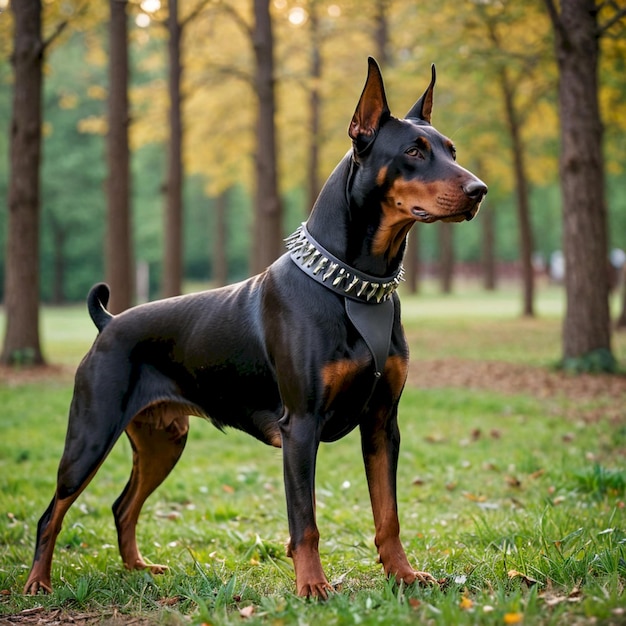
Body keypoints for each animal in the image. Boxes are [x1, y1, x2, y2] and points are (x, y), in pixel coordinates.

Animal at [24, 57, 486, 596]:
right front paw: (313, 587)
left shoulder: (382, 422)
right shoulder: (301, 426)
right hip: (91, 434)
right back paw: (37, 583)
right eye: (413, 151)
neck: (355, 288)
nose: (479, 190)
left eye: (451, 150)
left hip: (164, 440)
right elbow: (304, 521)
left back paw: (138, 567)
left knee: (123, 505)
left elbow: (387, 514)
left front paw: (404, 575)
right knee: (52, 512)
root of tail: (110, 322)